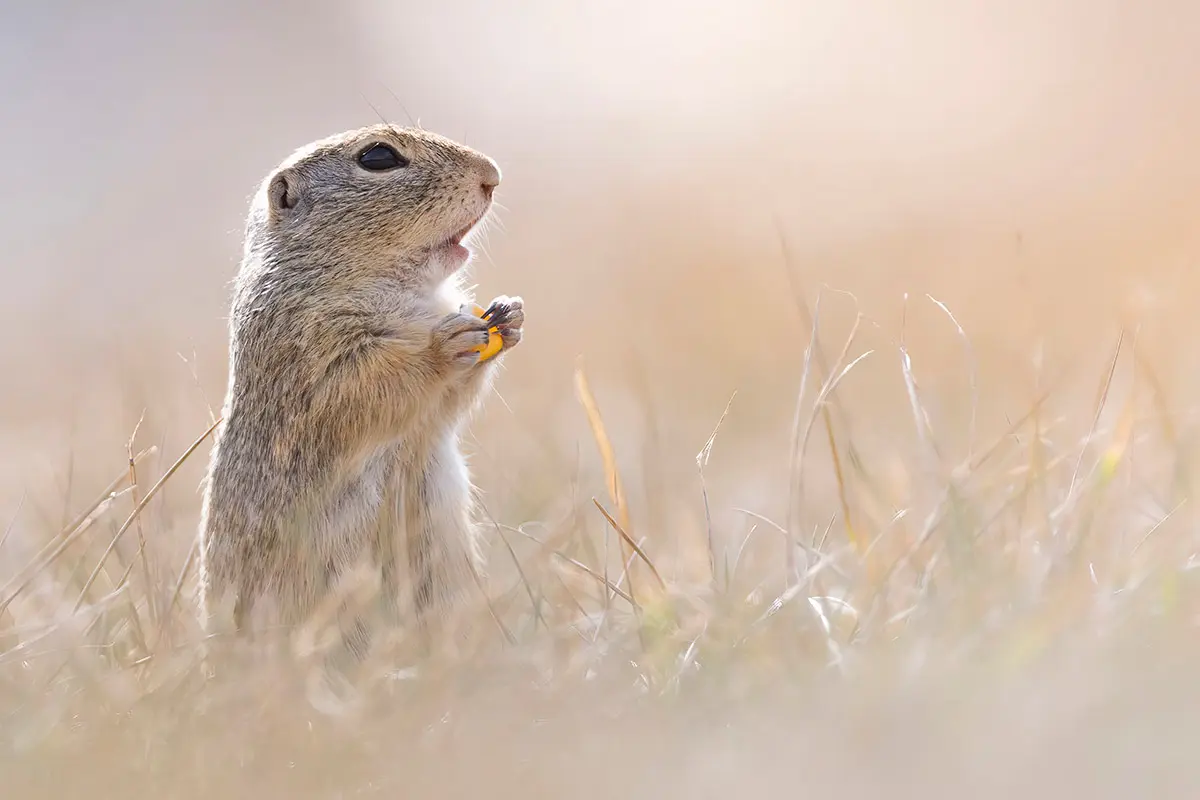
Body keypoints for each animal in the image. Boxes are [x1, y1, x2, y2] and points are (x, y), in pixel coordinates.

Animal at [196, 124, 522, 672]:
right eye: (378, 157)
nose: (493, 176)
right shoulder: (312, 350)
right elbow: (365, 389)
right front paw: (442, 346)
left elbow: (447, 405)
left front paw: (509, 316)